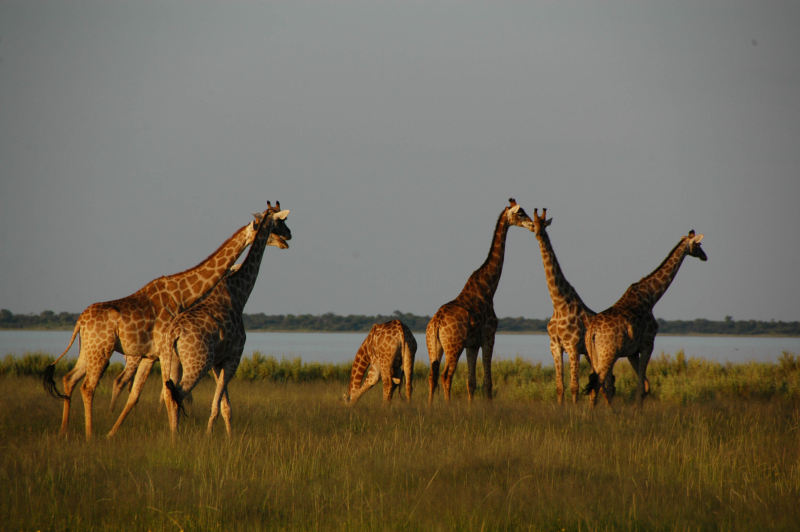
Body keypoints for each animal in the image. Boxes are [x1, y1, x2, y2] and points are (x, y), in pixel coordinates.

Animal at [42, 204, 274, 440]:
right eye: (271, 227)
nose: (283, 240)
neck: (183, 294)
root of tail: (80, 321)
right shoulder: (166, 352)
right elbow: (168, 391)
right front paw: (174, 429)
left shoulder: (153, 355)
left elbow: (138, 395)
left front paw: (113, 432)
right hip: (102, 351)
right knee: (89, 387)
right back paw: (89, 434)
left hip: (88, 350)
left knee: (69, 379)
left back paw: (64, 430)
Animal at [159, 202, 290, 434]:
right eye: (281, 222)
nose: (290, 235)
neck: (239, 294)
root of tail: (173, 334)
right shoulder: (233, 357)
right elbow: (217, 405)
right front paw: (209, 434)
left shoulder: (217, 362)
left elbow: (225, 406)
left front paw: (228, 437)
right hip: (197, 362)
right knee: (179, 394)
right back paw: (178, 438)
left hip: (170, 361)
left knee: (169, 394)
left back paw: (173, 435)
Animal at [428, 198, 536, 404]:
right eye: (520, 213)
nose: (533, 225)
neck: (488, 289)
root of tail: (436, 323)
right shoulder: (489, 336)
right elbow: (488, 382)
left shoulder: (472, 344)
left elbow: (471, 383)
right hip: (454, 345)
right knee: (446, 376)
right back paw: (447, 406)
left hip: (434, 345)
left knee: (433, 376)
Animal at [528, 208, 596, 404]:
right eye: (533, 224)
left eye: (544, 225)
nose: (538, 234)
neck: (559, 304)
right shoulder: (555, 346)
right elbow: (560, 386)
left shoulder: (572, 346)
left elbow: (574, 386)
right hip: (589, 353)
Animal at [580, 230, 708, 408]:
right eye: (698, 244)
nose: (705, 256)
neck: (651, 297)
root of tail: (592, 330)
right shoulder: (648, 344)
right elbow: (642, 386)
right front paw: (638, 412)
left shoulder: (632, 352)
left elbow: (645, 385)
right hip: (608, 354)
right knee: (598, 385)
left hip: (594, 355)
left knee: (599, 386)